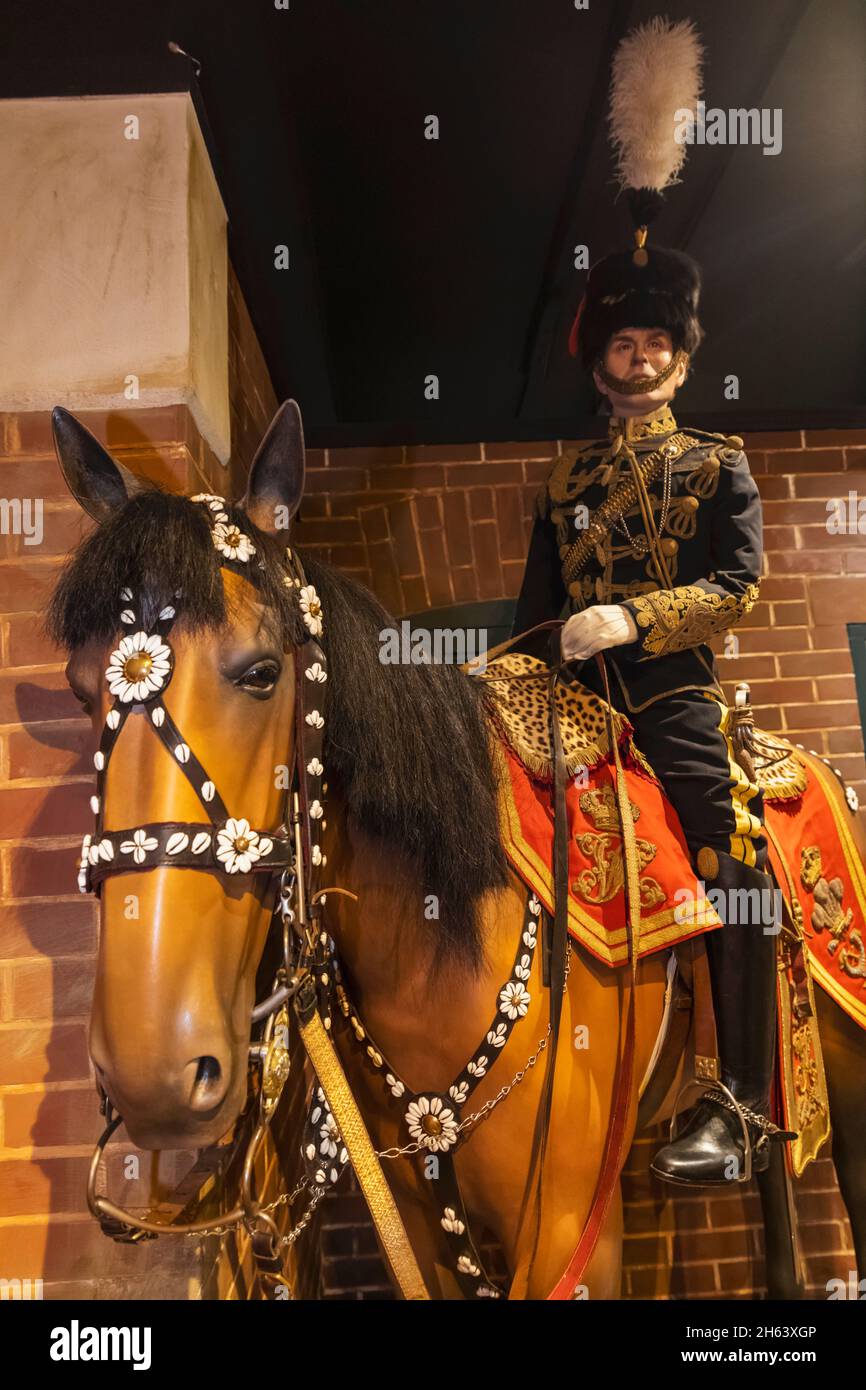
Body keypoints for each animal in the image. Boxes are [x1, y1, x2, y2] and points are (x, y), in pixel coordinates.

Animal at [50, 405, 866, 1301]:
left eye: (261, 672)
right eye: (82, 690)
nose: (149, 1069)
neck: (437, 950)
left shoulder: (570, 1229)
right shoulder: (420, 1225)